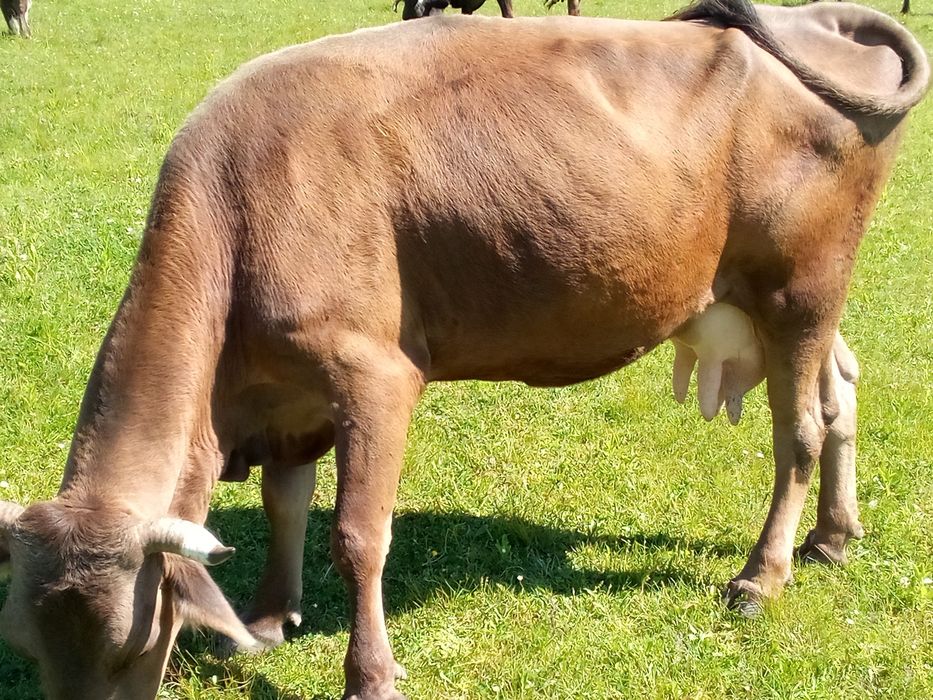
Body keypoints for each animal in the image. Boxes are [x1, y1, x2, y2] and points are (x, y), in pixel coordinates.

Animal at [0, 0, 929, 698]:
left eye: (131, 648)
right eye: (31, 652)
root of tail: (814, 22)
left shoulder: (373, 373)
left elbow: (358, 535)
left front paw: (370, 675)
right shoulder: (287, 393)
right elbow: (285, 502)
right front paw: (267, 616)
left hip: (799, 287)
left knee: (797, 429)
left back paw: (760, 575)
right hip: (775, 300)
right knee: (839, 391)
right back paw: (833, 536)